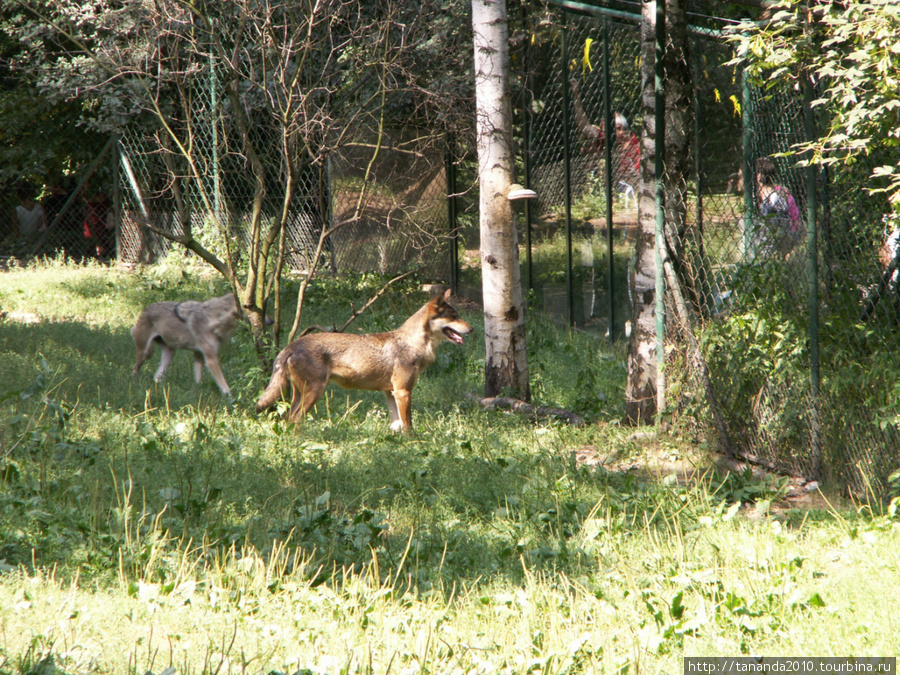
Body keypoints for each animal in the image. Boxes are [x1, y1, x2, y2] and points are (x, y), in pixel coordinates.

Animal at [256, 290, 474, 434]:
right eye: (454, 317)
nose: (472, 329)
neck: (412, 343)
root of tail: (291, 346)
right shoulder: (403, 392)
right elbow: (408, 426)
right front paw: (415, 444)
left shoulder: (391, 393)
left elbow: (396, 425)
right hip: (314, 393)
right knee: (294, 419)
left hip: (300, 394)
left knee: (288, 419)